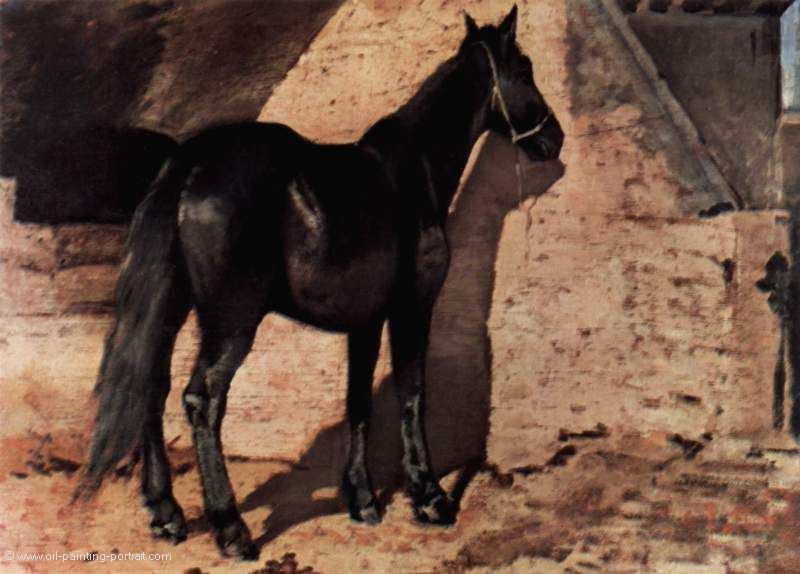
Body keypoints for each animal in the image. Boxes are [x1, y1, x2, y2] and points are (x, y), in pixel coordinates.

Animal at [75, 5, 564, 560]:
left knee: (151, 390)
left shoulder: (366, 322)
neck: (412, 174)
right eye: (524, 69)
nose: (555, 140)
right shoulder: (412, 309)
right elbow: (413, 394)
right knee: (202, 400)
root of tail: (188, 165)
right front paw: (430, 497)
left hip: (173, 308)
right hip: (230, 320)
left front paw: (363, 501)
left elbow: (358, 403)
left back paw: (166, 515)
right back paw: (231, 530)